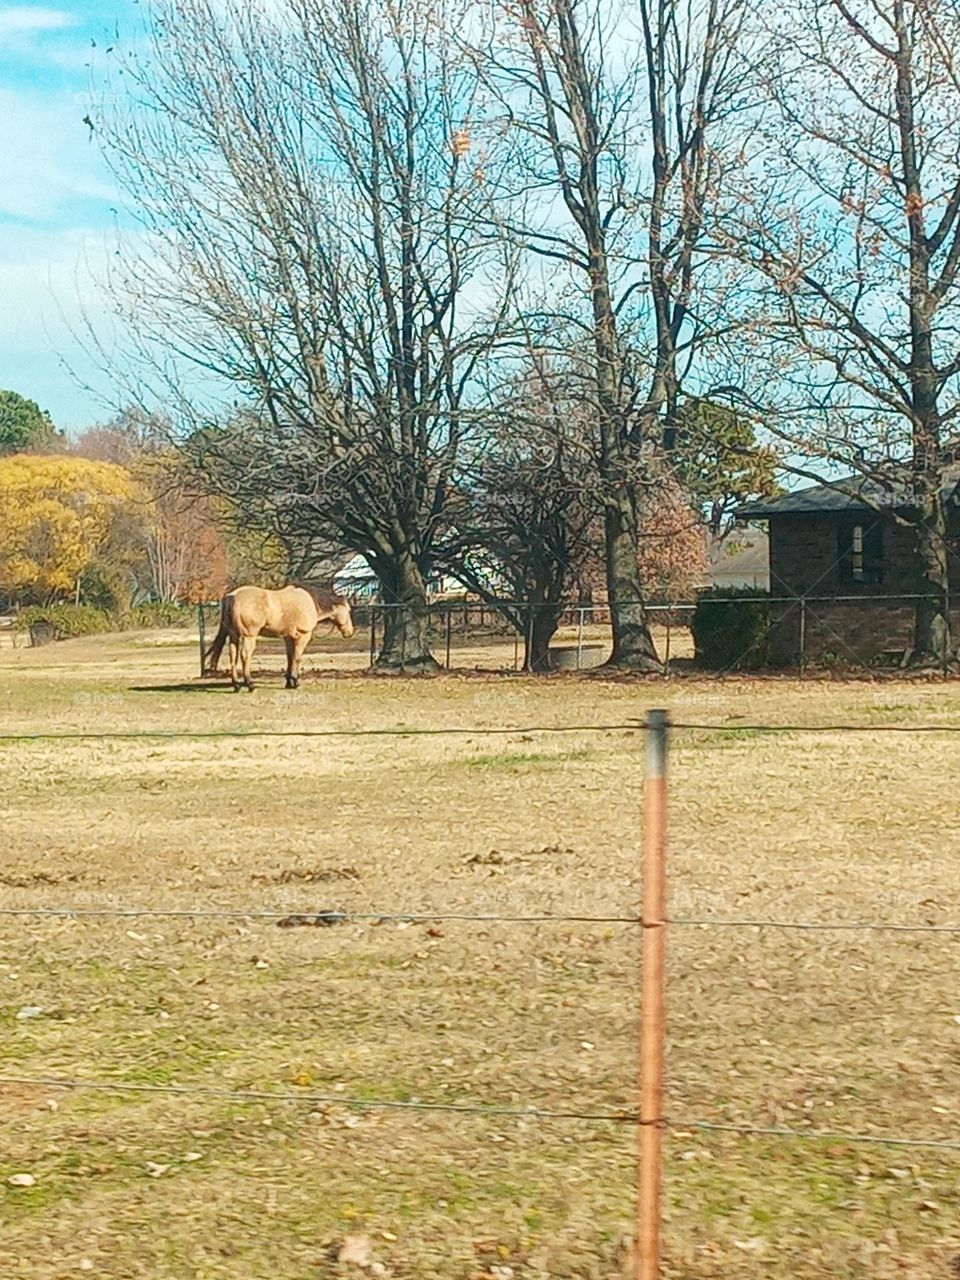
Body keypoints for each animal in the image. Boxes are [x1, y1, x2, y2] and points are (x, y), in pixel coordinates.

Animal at [203, 584, 355, 691]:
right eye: (348, 611)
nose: (350, 632)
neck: (310, 602)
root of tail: (233, 596)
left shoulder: (288, 637)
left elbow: (290, 657)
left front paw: (289, 681)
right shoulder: (303, 637)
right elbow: (297, 657)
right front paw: (295, 682)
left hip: (234, 635)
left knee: (233, 656)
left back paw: (236, 685)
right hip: (249, 636)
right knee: (245, 656)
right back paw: (250, 684)